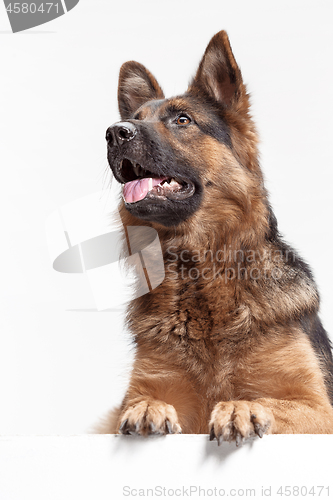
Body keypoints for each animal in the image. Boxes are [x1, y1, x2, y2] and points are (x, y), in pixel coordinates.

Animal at [104, 32, 332, 446]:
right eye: (134, 120)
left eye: (182, 120)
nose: (115, 132)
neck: (198, 273)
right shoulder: (148, 389)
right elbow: (143, 400)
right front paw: (147, 408)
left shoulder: (318, 409)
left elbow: (269, 400)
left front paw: (241, 407)